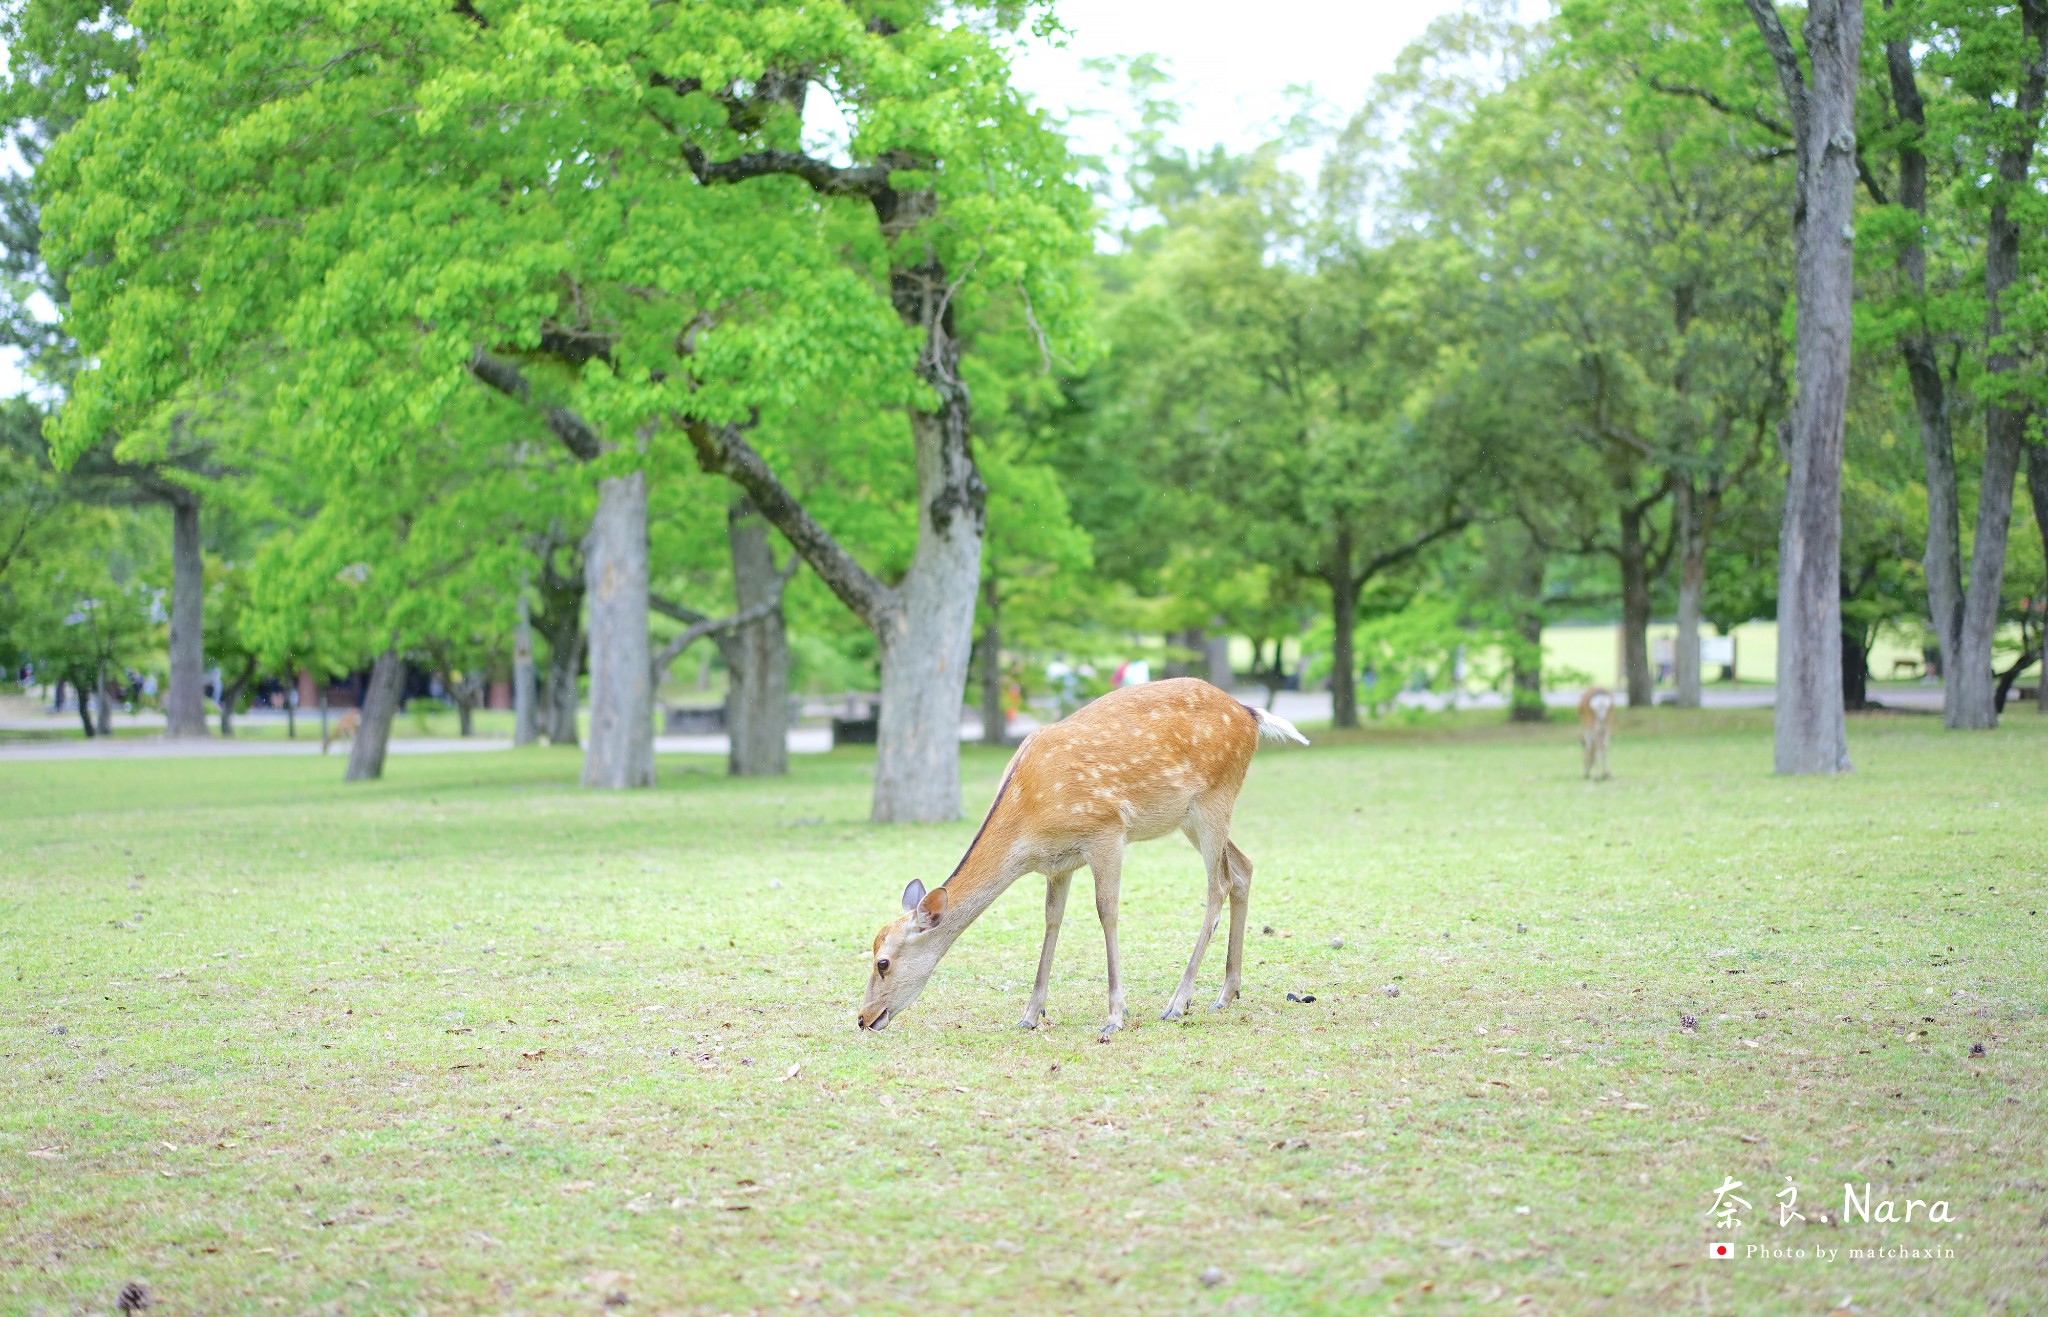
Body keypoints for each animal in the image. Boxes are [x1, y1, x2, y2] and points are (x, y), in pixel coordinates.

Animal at [851, 680, 1302, 1040]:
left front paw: (1115, 1016)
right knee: (1242, 868)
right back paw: (1227, 993)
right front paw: (1031, 1014)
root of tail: (1249, 713)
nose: (863, 1017)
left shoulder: (1107, 832)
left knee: (1217, 886)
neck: (1028, 821)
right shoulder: (1058, 863)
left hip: (1215, 798)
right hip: (1190, 817)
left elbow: (1107, 911)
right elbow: (1052, 920)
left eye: (883, 962)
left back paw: (1179, 1001)